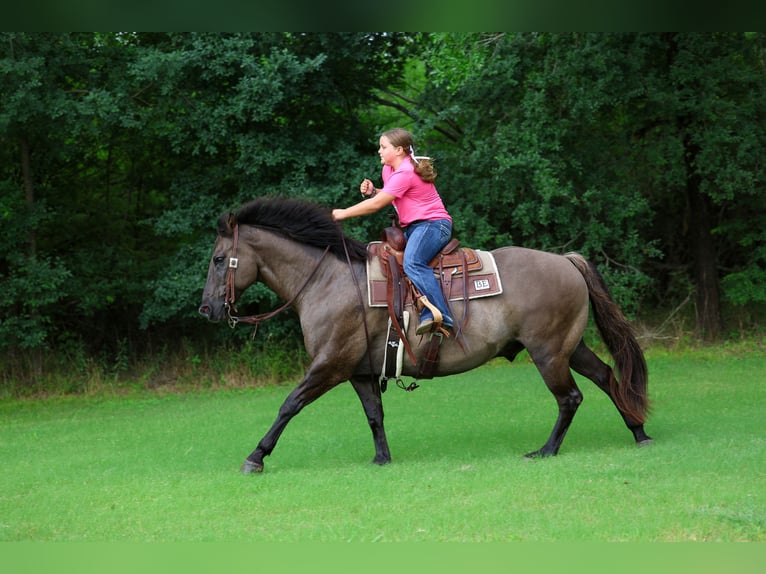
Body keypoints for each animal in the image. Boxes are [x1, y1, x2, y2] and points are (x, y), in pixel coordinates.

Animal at [198, 197, 652, 473]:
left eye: (220, 259)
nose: (207, 309)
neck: (329, 281)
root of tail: (566, 260)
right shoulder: (359, 371)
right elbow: (375, 415)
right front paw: (382, 458)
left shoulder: (330, 365)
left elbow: (289, 405)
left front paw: (256, 456)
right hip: (569, 348)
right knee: (607, 377)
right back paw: (639, 432)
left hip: (548, 353)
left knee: (570, 397)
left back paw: (547, 450)